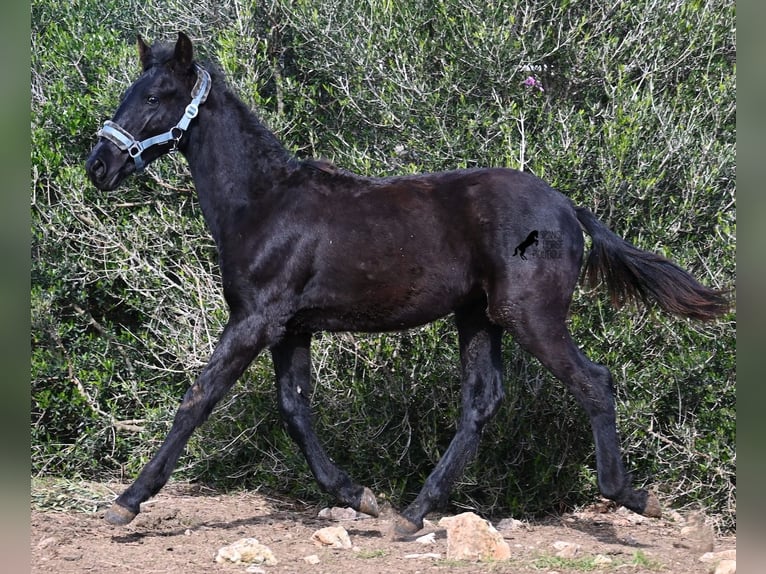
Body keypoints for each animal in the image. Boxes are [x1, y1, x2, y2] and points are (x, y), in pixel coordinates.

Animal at [85, 33, 732, 536]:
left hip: (530, 314)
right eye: (127, 93)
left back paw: (632, 496)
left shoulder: (255, 320)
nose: (98, 166)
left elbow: (197, 399)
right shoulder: (291, 327)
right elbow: (294, 409)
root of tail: (568, 207)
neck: (264, 203)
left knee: (594, 383)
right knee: (482, 401)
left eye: (157, 96)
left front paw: (125, 503)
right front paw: (361, 497)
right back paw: (413, 514)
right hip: (479, 316)